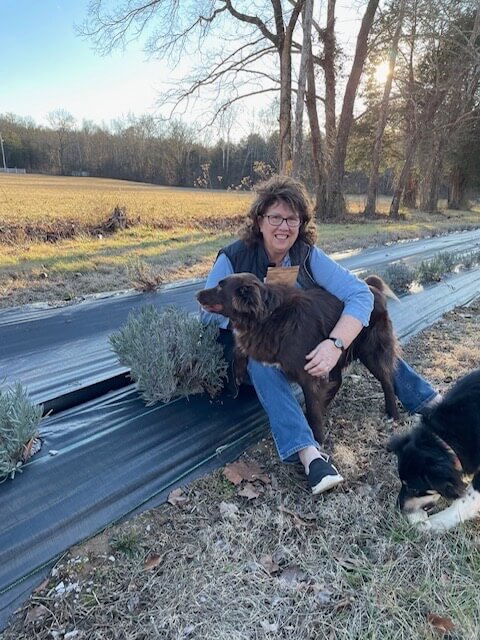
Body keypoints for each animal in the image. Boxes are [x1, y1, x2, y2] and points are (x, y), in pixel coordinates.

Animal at [197, 272, 400, 442]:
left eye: (220, 286)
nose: (197, 294)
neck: (267, 316)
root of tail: (370, 287)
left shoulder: (309, 375)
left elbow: (313, 409)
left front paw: (318, 439)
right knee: (337, 380)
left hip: (371, 352)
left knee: (387, 380)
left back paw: (393, 414)